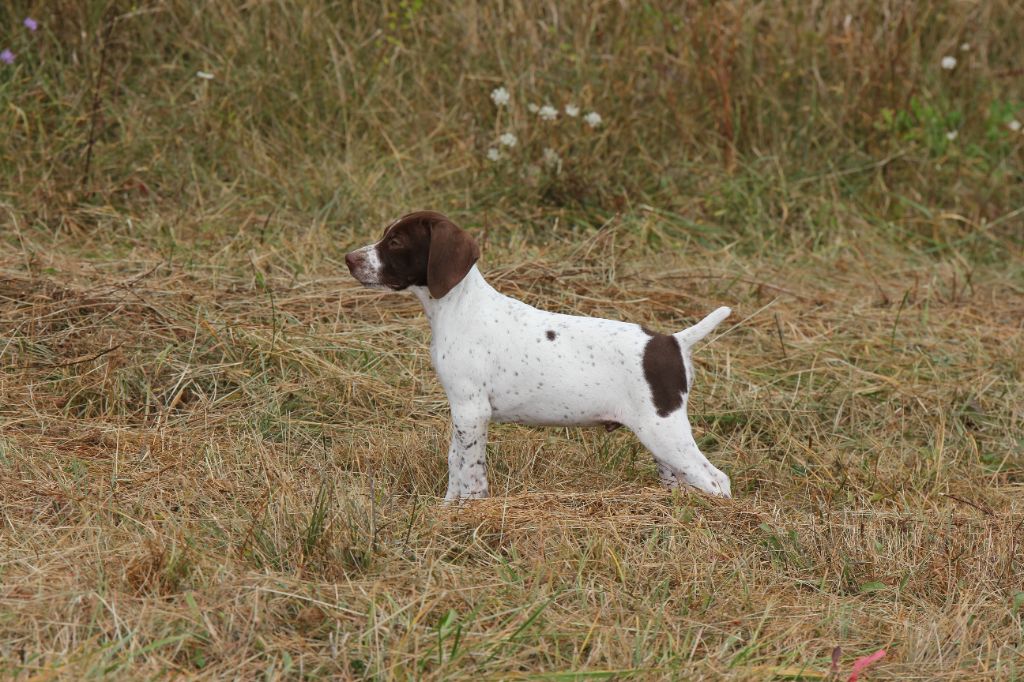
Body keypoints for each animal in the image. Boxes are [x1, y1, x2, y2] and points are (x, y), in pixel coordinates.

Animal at [348, 210, 733, 499]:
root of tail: (673, 341)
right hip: (659, 439)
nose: (348, 259)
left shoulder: (472, 410)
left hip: (664, 431)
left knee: (717, 480)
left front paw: (470, 511)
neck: (459, 306)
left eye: (396, 241)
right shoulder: (461, 410)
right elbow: (455, 463)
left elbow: (470, 472)